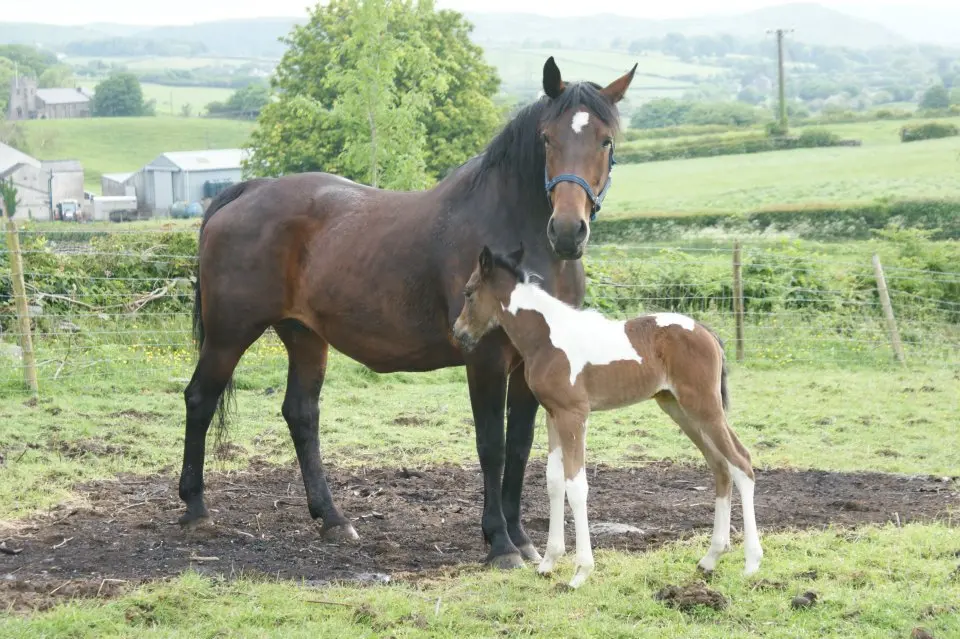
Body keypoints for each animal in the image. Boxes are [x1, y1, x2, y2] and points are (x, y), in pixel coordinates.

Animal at [177, 56, 638, 570]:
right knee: (200, 399)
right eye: (547, 138)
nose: (568, 230)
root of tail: (246, 191)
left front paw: (521, 538)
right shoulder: (485, 359)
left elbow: (519, 447)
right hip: (229, 334)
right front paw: (499, 543)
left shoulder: (530, 364)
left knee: (301, 413)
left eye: (606, 140)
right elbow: (492, 447)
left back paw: (332, 519)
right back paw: (196, 509)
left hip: (304, 336)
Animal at [452, 245, 763, 588]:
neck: (548, 337)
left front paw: (580, 572)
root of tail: (705, 331)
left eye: (468, 292)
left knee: (741, 462)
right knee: (720, 466)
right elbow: (554, 482)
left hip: (704, 407)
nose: (459, 333)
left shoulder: (574, 414)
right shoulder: (553, 415)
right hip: (679, 409)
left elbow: (576, 486)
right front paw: (548, 562)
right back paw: (710, 558)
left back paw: (751, 563)